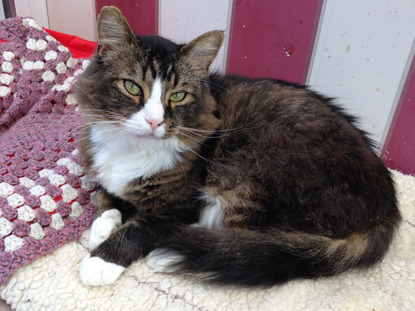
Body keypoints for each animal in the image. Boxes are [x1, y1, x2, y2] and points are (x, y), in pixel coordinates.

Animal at [76, 5, 402, 288]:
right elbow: (106, 197)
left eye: (178, 95)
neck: (131, 148)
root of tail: (386, 209)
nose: (155, 121)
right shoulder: (106, 172)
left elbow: (139, 228)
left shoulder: (180, 207)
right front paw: (102, 227)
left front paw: (100, 260)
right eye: (132, 87)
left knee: (250, 241)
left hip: (253, 173)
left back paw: (177, 250)